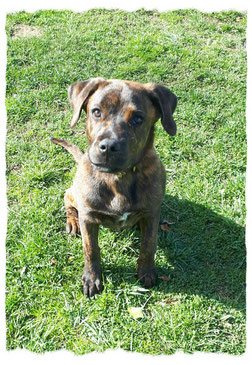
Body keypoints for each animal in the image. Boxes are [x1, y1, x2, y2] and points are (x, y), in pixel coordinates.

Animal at [51, 77, 177, 296]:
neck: (118, 178)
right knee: (67, 197)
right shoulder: (88, 217)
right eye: (96, 112)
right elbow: (91, 250)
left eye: (137, 119)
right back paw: (72, 221)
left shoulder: (151, 213)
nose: (108, 147)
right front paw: (92, 279)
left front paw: (147, 271)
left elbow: (148, 244)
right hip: (75, 193)